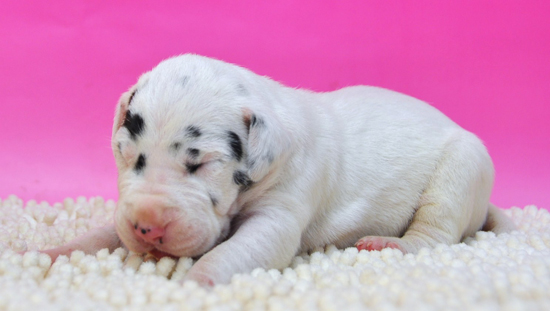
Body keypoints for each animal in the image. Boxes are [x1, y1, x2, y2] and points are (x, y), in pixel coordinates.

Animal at [41, 54, 516, 288]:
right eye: (125, 155)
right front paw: (55, 252)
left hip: (462, 169)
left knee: (436, 232)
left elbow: (239, 249)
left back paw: (392, 243)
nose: (146, 227)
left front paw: (196, 282)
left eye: (202, 163)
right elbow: (104, 232)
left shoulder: (280, 213)